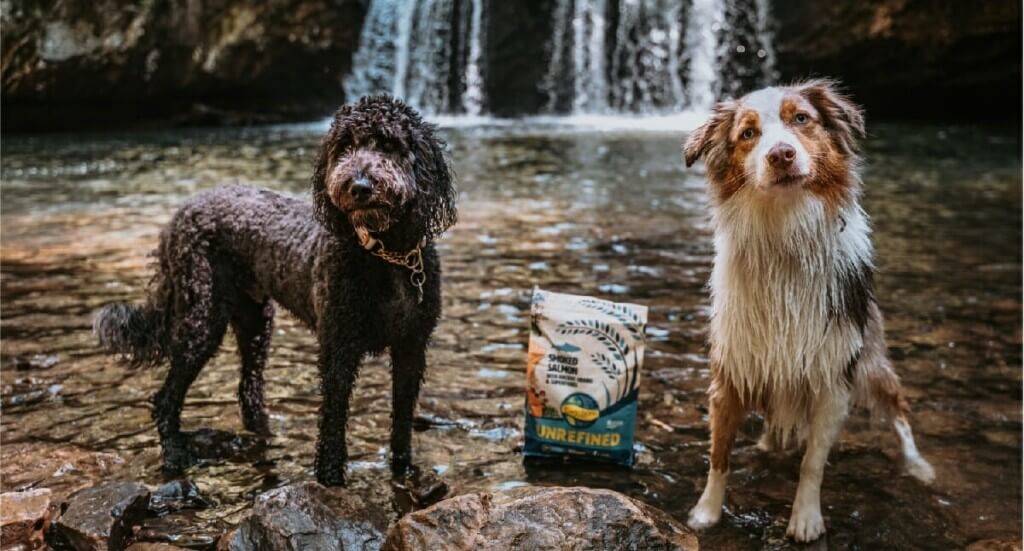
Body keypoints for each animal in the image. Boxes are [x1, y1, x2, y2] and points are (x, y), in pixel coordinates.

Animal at [95, 96, 456, 483]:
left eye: (389, 145)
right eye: (344, 147)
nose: (358, 186)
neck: (384, 255)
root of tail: (179, 214)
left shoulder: (411, 347)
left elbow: (402, 418)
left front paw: (403, 469)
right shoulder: (339, 347)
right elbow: (333, 420)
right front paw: (329, 478)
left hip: (255, 320)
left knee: (248, 389)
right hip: (201, 317)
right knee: (166, 399)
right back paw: (176, 456)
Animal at [684, 80, 933, 540]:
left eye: (801, 119)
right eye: (748, 133)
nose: (781, 154)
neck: (784, 232)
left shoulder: (833, 376)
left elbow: (813, 462)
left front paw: (805, 518)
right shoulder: (733, 369)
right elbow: (718, 454)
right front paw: (706, 512)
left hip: (871, 363)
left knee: (900, 411)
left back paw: (919, 466)